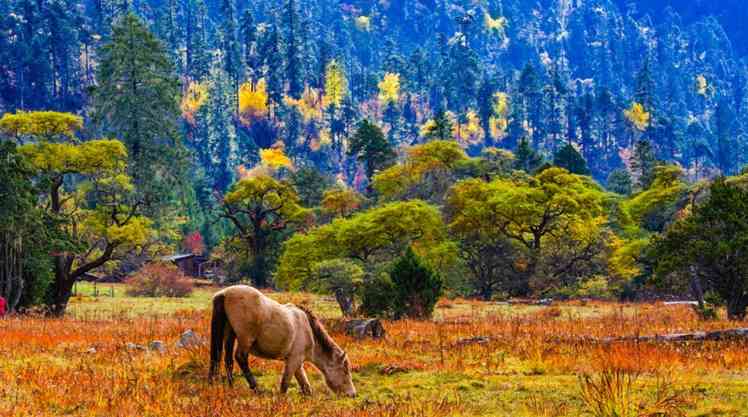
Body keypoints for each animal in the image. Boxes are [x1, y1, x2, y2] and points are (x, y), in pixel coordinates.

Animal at [206, 282, 356, 396]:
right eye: (345, 371)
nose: (353, 394)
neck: (309, 330)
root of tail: (224, 294)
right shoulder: (294, 360)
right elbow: (285, 384)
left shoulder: (297, 363)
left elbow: (305, 385)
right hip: (245, 339)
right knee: (240, 358)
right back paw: (256, 388)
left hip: (229, 334)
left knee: (226, 359)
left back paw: (230, 386)